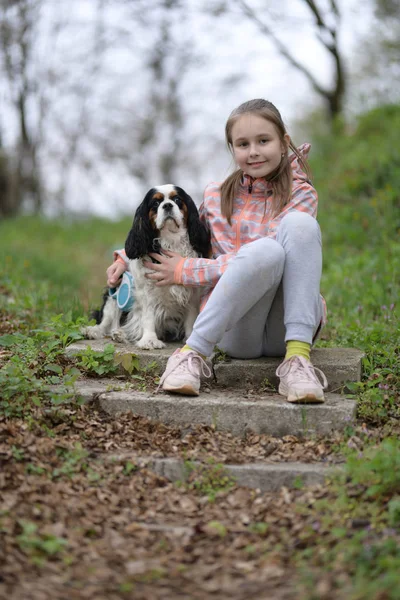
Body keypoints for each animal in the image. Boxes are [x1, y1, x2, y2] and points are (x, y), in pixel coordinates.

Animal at [83, 185, 211, 350]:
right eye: (155, 203)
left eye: (177, 199)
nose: (167, 205)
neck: (171, 240)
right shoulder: (146, 290)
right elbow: (148, 316)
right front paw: (149, 340)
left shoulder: (192, 292)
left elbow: (191, 316)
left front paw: (189, 338)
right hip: (115, 288)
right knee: (106, 322)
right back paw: (99, 332)